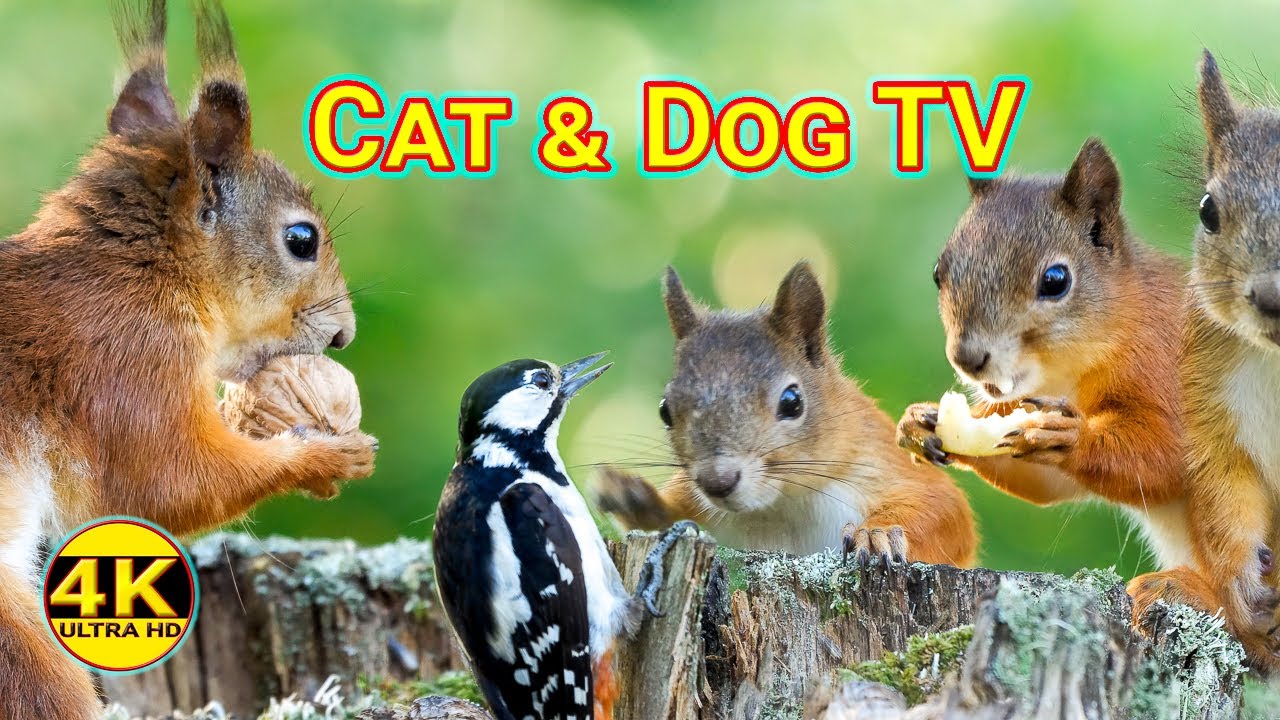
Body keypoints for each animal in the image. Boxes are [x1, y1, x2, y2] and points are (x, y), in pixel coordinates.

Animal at [0, 2, 375, 717]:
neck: (141, 269)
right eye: (301, 239)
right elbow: (166, 483)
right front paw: (325, 455)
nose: (343, 335)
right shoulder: (127, 360)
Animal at [594, 262, 977, 566]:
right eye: (665, 411)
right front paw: (630, 495)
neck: (781, 503)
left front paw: (876, 534)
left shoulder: (885, 459)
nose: (717, 482)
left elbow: (944, 508)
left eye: (792, 402)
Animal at [895, 138, 1192, 570]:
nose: (967, 359)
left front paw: (1068, 438)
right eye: (938, 272)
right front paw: (919, 422)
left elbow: (1168, 456)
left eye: (1056, 280)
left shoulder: (1169, 370)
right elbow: (1042, 481)